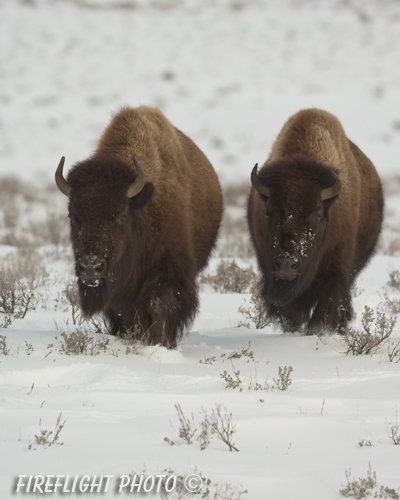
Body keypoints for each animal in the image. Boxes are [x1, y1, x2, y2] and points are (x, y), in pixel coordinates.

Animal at [54, 105, 222, 348]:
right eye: (71, 215)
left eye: (121, 216)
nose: (90, 267)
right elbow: (122, 311)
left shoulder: (169, 267)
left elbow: (159, 303)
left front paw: (163, 343)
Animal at [248, 109, 382, 336]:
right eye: (268, 213)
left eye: (317, 215)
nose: (287, 264)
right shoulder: (268, 268)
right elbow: (289, 314)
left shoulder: (336, 269)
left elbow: (324, 312)